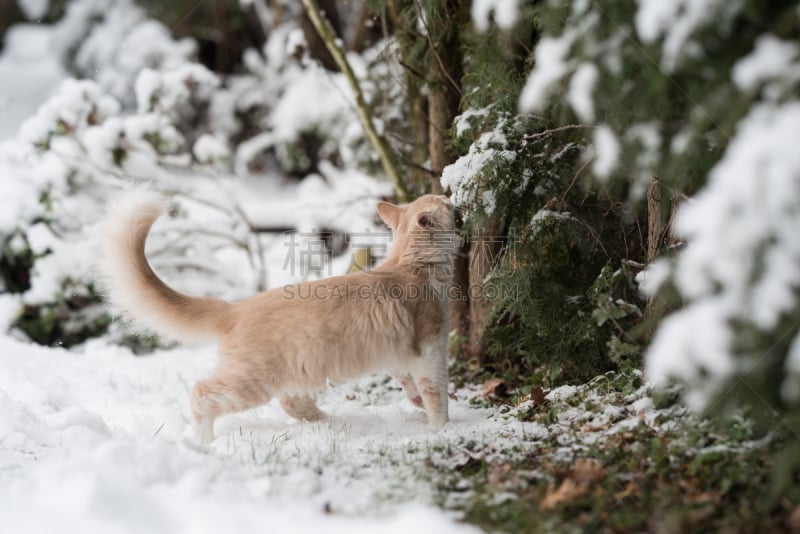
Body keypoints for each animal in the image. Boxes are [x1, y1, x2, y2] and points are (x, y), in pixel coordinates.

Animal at [98, 191, 456, 446]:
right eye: (445, 204)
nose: (449, 194)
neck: (411, 265)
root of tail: (235, 307)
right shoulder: (430, 348)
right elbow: (437, 393)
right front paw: (441, 428)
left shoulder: (400, 354)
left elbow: (409, 382)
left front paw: (416, 402)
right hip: (250, 382)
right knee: (202, 394)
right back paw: (202, 441)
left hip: (296, 373)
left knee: (292, 405)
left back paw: (329, 423)